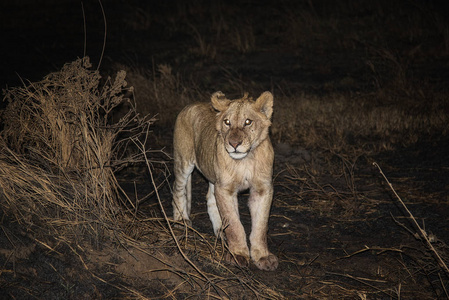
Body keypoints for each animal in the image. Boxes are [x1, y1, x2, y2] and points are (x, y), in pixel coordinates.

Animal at [172, 90, 276, 270]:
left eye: (247, 122)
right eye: (227, 122)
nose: (234, 143)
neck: (246, 160)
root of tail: (190, 105)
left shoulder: (263, 189)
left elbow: (261, 226)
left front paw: (263, 257)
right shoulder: (225, 189)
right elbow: (234, 224)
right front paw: (238, 255)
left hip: (214, 177)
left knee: (210, 198)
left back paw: (220, 229)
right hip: (183, 161)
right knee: (177, 188)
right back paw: (181, 221)